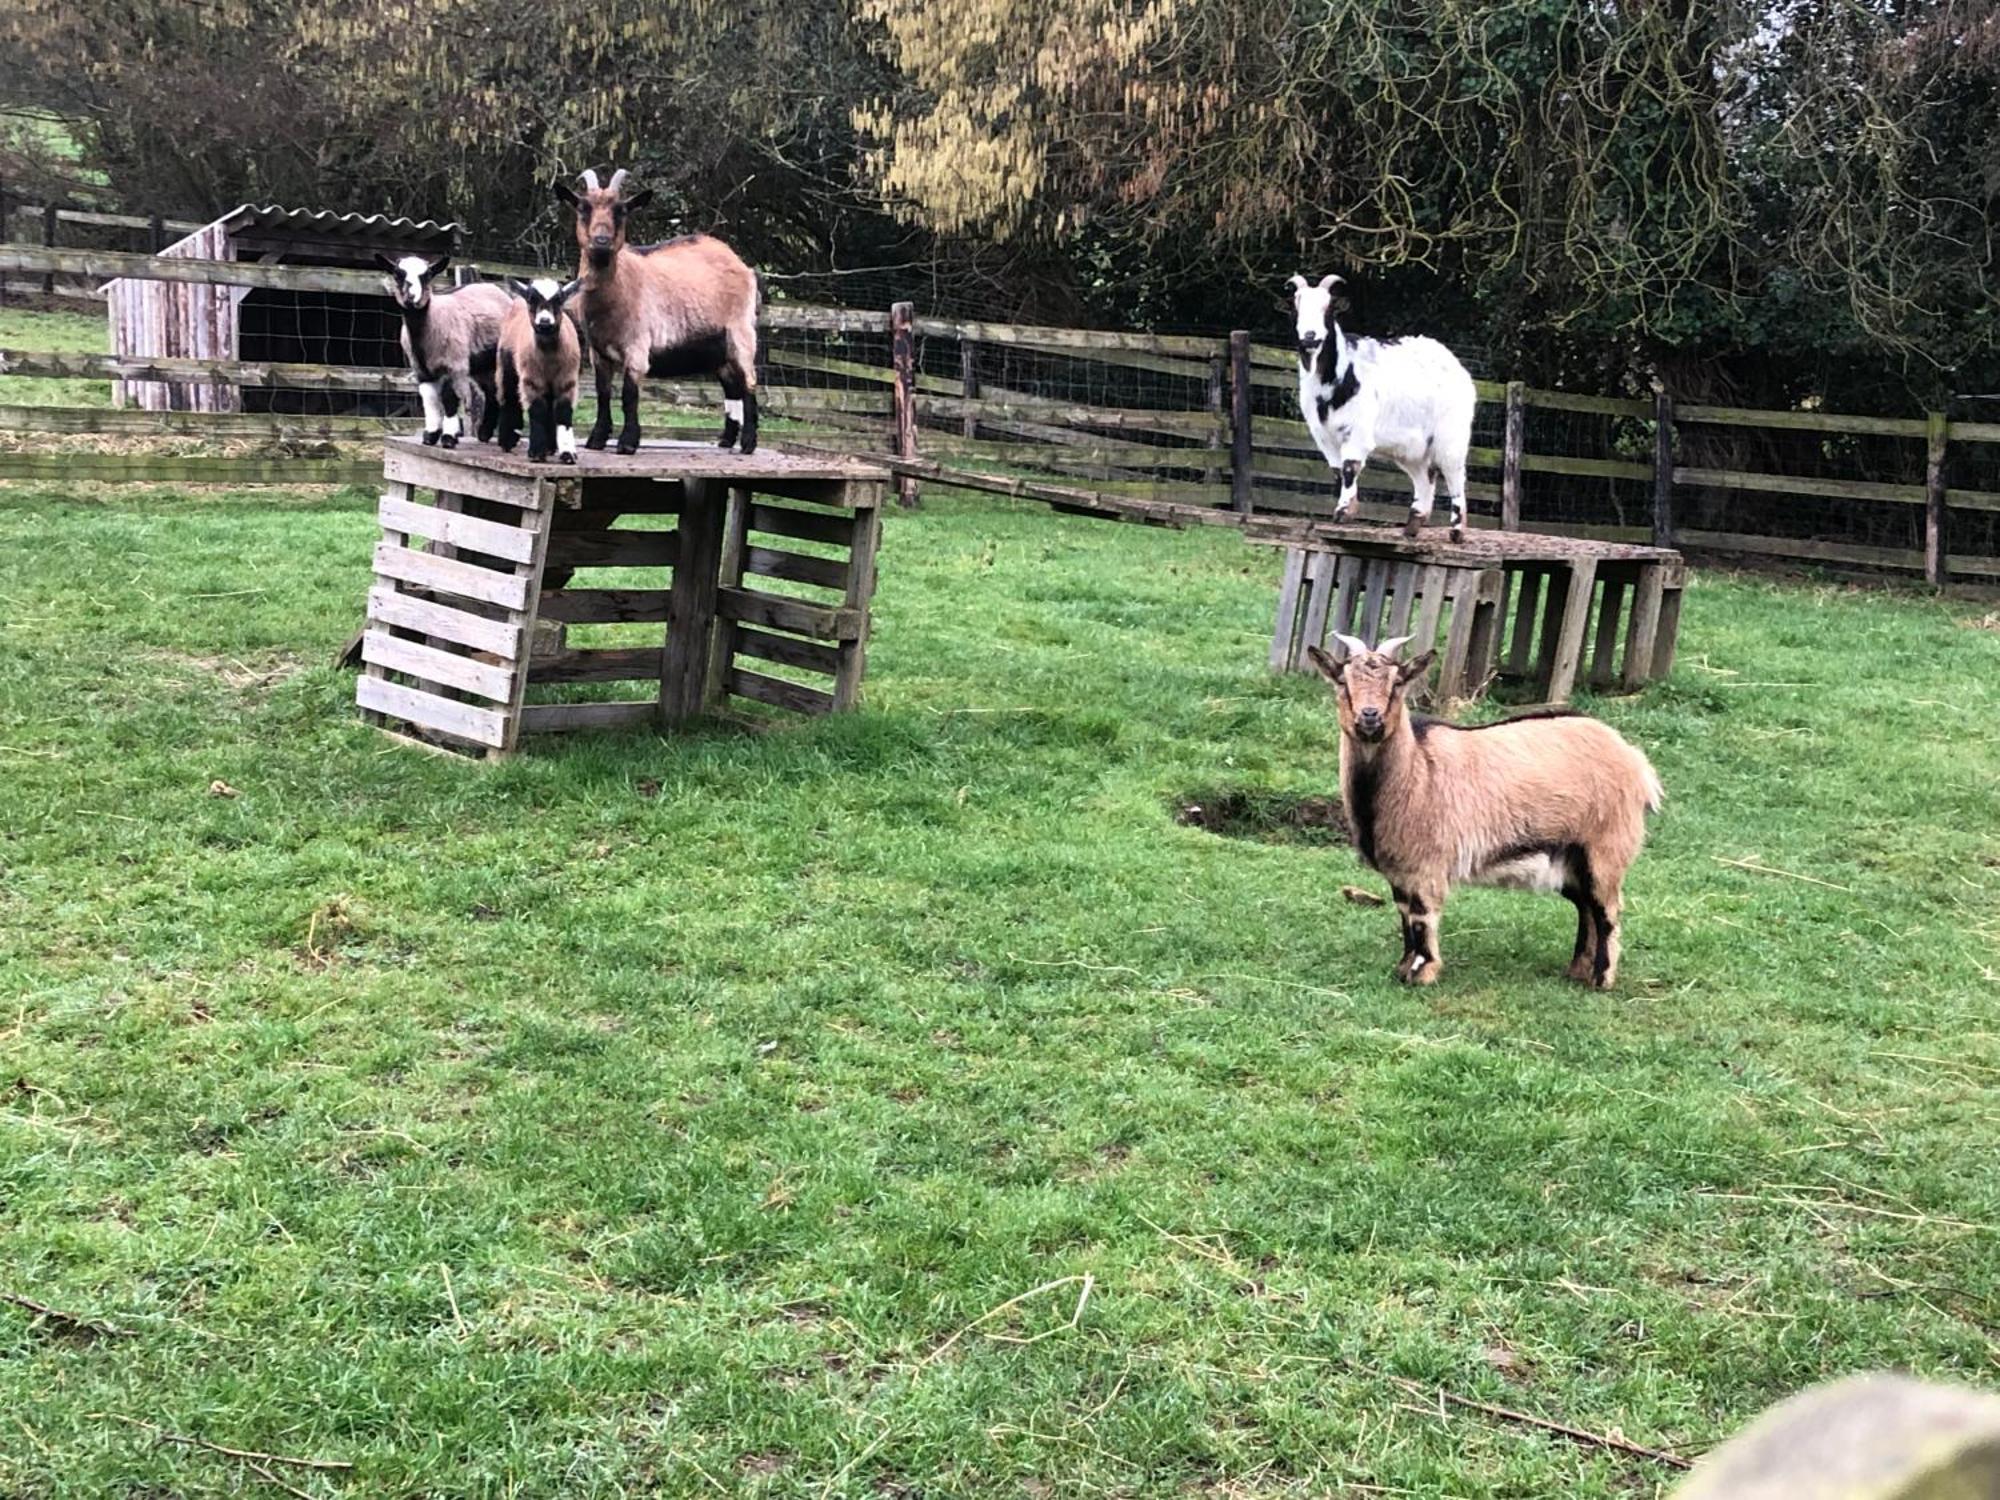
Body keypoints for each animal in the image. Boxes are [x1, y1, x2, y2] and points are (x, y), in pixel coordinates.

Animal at [376, 253, 512, 450]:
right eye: (397, 274)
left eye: (427, 275)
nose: (411, 297)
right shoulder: (421, 369)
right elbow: (430, 399)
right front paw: (430, 436)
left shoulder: (452, 363)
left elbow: (449, 398)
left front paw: (448, 437)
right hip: (483, 363)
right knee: (492, 391)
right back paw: (484, 434)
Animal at [552, 167, 760, 456]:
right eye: (583, 208)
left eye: (621, 210)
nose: (601, 241)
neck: (619, 288)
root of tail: (741, 265)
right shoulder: (598, 352)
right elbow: (603, 394)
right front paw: (597, 439)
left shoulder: (637, 348)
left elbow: (628, 395)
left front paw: (628, 442)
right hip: (718, 348)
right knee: (732, 386)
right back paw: (726, 440)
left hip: (741, 332)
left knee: (749, 381)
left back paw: (748, 443)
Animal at [1288, 276, 1480, 540]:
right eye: (1297, 307)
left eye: (1328, 309)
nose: (1309, 337)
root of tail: (1457, 366)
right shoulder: (1323, 435)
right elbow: (1337, 471)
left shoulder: (1357, 430)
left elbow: (1350, 467)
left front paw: (1344, 512)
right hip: (1412, 447)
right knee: (1425, 475)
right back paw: (1413, 524)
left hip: (1451, 435)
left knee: (1455, 474)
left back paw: (1457, 531)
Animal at [1312, 632, 1672, 992]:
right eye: (1343, 681)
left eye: (1397, 681)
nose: (1370, 716)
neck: (1417, 767)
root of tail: (1636, 762)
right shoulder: (1399, 870)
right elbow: (1404, 914)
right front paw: (1404, 967)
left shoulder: (1427, 863)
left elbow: (1422, 915)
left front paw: (1424, 972)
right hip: (1570, 856)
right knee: (1587, 907)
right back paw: (1578, 970)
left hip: (1604, 847)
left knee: (1606, 909)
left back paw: (1601, 978)